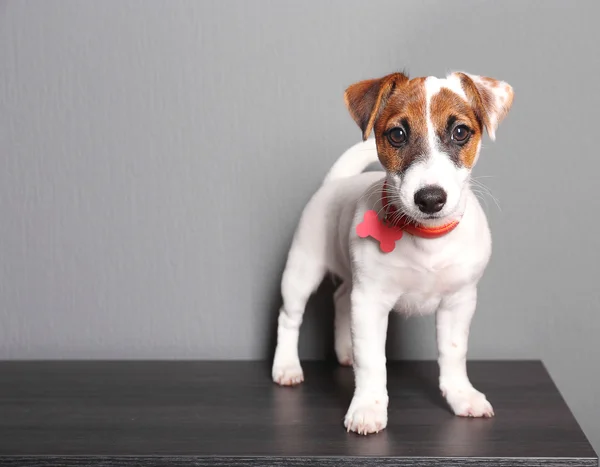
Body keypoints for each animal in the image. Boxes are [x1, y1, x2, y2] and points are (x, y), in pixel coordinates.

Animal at [272, 71, 510, 436]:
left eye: (460, 132)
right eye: (397, 134)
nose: (430, 198)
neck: (426, 238)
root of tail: (335, 182)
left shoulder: (459, 302)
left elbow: (454, 353)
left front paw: (461, 395)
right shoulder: (370, 301)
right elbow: (372, 361)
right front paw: (368, 407)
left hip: (348, 281)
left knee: (340, 298)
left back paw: (345, 350)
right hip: (301, 271)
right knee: (289, 317)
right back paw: (286, 366)